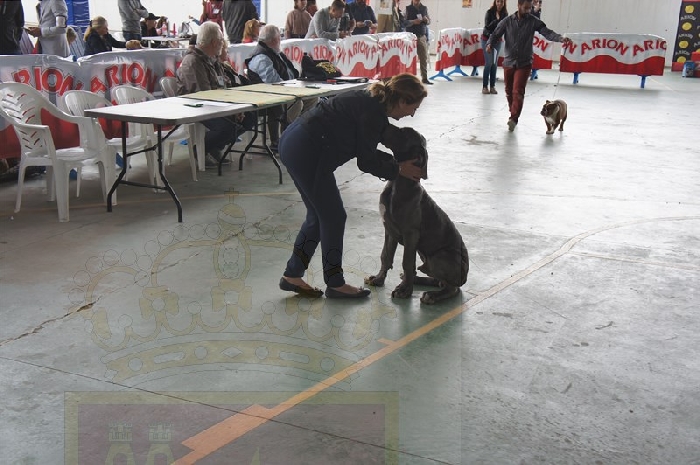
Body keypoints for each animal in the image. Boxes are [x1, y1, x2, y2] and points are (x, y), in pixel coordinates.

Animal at [365, 126, 469, 304]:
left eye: (404, 133)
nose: (384, 126)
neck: (398, 184)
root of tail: (465, 277)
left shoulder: (410, 234)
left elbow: (407, 262)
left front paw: (404, 291)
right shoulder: (389, 230)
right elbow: (386, 256)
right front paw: (378, 279)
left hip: (439, 256)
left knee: (452, 288)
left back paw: (432, 295)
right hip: (423, 254)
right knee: (437, 279)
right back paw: (418, 280)